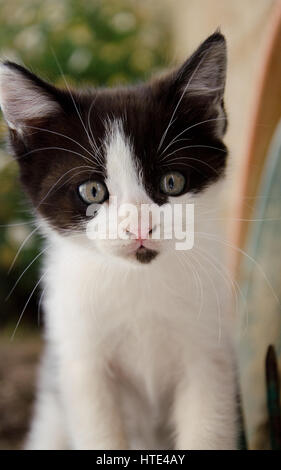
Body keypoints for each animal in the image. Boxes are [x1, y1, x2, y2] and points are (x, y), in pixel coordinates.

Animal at [0, 31, 236, 450]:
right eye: (93, 191)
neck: (137, 281)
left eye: (172, 182)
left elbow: (207, 427)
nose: (139, 225)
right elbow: (100, 432)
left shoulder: (210, 354)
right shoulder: (80, 365)